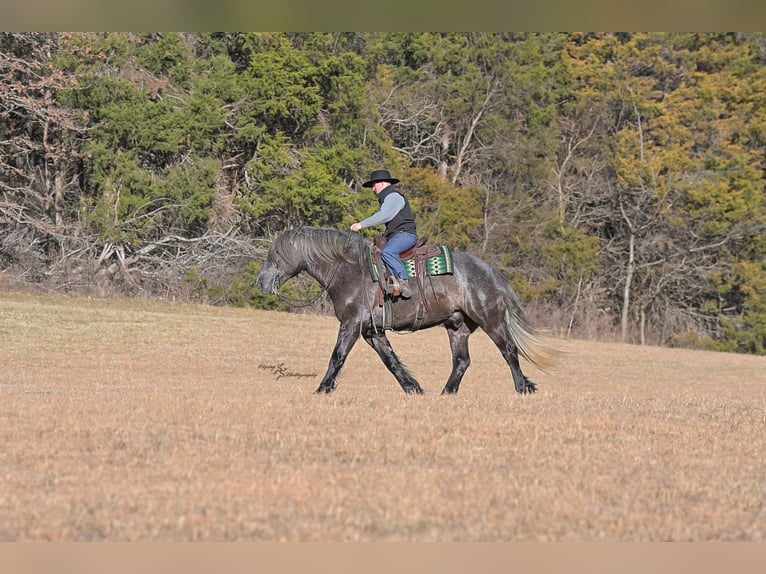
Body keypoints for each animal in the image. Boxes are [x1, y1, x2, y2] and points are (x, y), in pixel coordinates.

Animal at [255, 227, 557, 395]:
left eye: (277, 255)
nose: (261, 282)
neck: (348, 271)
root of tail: (493, 273)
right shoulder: (372, 331)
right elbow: (390, 361)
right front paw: (413, 387)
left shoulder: (352, 324)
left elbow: (337, 356)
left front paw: (322, 388)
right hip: (457, 327)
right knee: (462, 361)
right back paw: (446, 392)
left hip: (491, 321)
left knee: (509, 351)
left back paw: (523, 387)